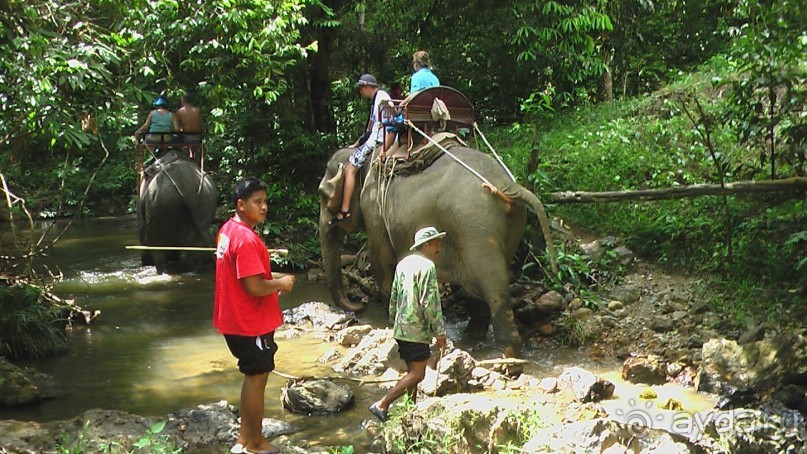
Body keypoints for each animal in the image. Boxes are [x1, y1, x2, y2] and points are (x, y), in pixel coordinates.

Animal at [318, 140, 560, 356]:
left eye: (323, 194)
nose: (359, 303)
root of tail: (507, 186)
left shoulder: (373, 210)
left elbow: (382, 262)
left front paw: (389, 322)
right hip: (510, 225)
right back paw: (471, 340)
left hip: (476, 229)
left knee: (493, 284)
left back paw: (503, 352)